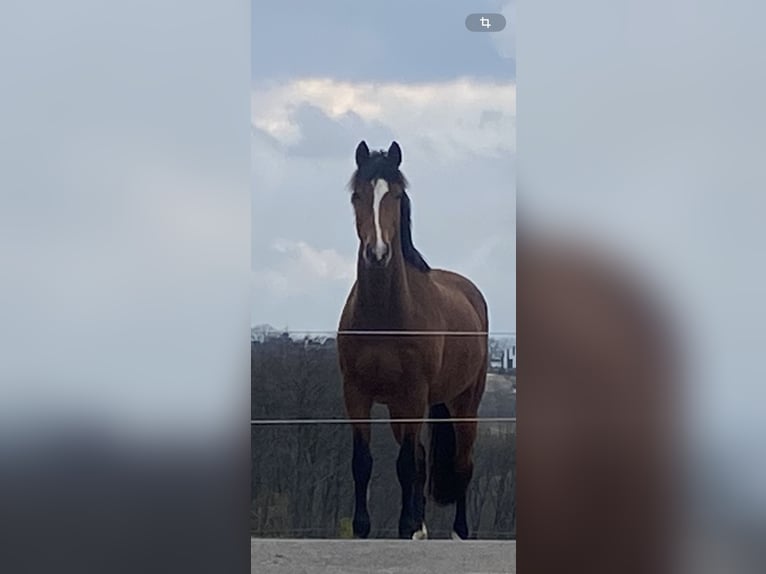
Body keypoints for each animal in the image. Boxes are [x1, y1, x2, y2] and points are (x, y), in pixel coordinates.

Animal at [337, 141, 489, 540]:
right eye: (357, 195)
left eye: (395, 194)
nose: (377, 253)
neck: (384, 317)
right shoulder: (357, 394)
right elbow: (364, 461)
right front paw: (363, 527)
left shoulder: (414, 393)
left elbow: (405, 463)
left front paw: (405, 526)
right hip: (400, 408)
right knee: (422, 460)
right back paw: (421, 528)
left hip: (464, 404)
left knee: (463, 462)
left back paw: (458, 532)